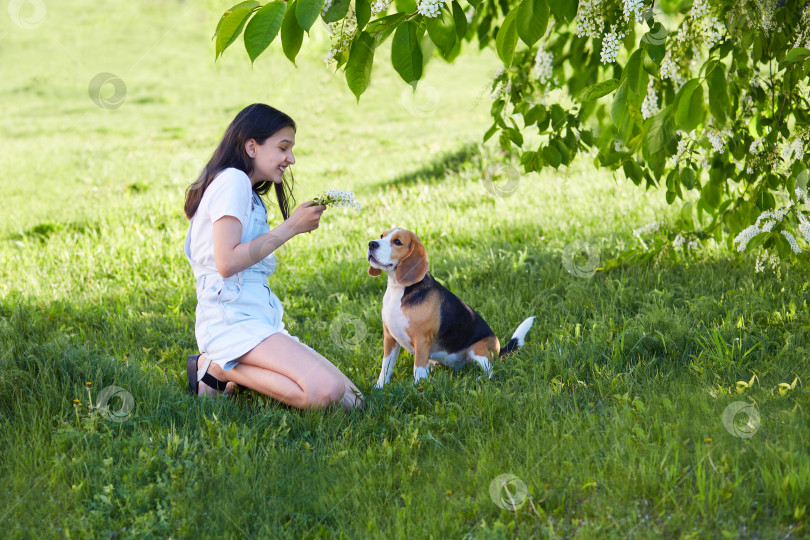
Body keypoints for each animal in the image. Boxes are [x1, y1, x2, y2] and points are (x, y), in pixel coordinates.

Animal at [364, 228, 532, 388]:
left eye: (397, 241)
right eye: (382, 235)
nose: (371, 244)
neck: (398, 290)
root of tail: (498, 350)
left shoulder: (421, 339)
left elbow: (418, 367)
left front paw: (418, 388)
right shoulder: (389, 337)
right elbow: (386, 365)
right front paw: (380, 386)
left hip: (478, 348)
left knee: (491, 370)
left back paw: (481, 379)